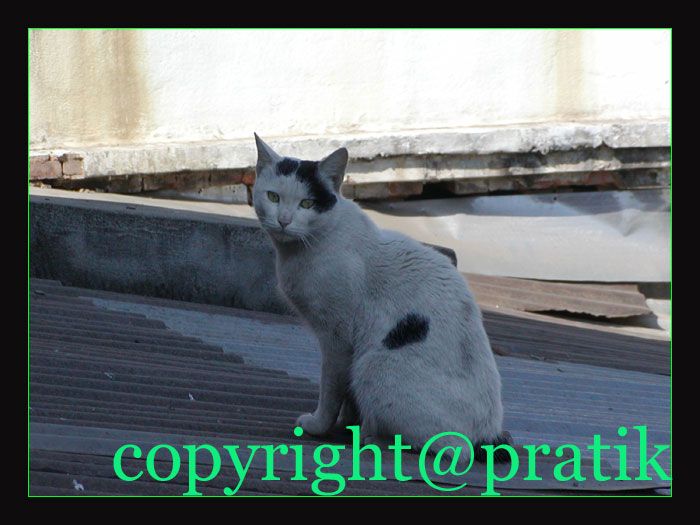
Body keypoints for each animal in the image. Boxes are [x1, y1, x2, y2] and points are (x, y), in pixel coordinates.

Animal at [252, 133, 506, 461]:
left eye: (307, 203)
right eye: (273, 197)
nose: (283, 220)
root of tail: (488, 434)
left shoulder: (338, 338)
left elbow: (332, 389)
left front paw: (320, 425)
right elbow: (347, 398)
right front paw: (346, 424)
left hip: (373, 366)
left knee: (454, 449)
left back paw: (374, 438)